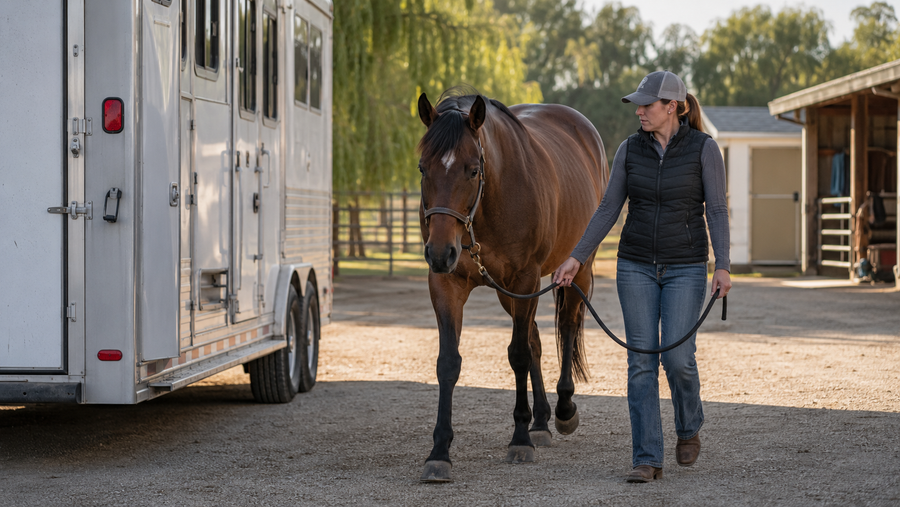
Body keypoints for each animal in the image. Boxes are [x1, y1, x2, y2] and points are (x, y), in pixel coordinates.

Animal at [416, 87, 610, 482]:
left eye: (473, 170)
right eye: (423, 168)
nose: (440, 252)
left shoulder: (525, 279)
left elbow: (518, 355)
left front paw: (520, 439)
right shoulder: (447, 284)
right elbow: (449, 363)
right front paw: (439, 452)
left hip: (576, 271)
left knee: (566, 328)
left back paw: (562, 409)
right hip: (511, 293)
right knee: (536, 338)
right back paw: (541, 421)